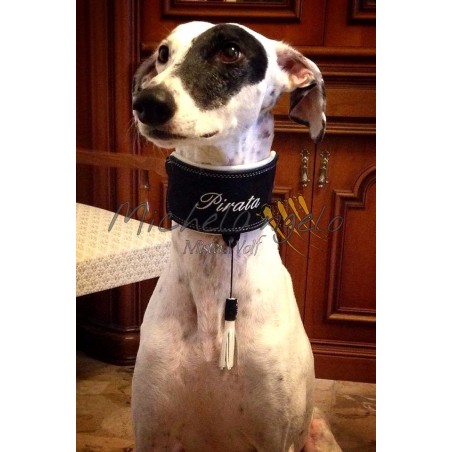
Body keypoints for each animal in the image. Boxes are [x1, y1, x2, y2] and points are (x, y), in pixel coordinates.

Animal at [131, 21, 341, 451]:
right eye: (163, 53)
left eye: (230, 51)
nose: (146, 103)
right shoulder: (152, 434)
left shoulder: (277, 438)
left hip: (317, 432)